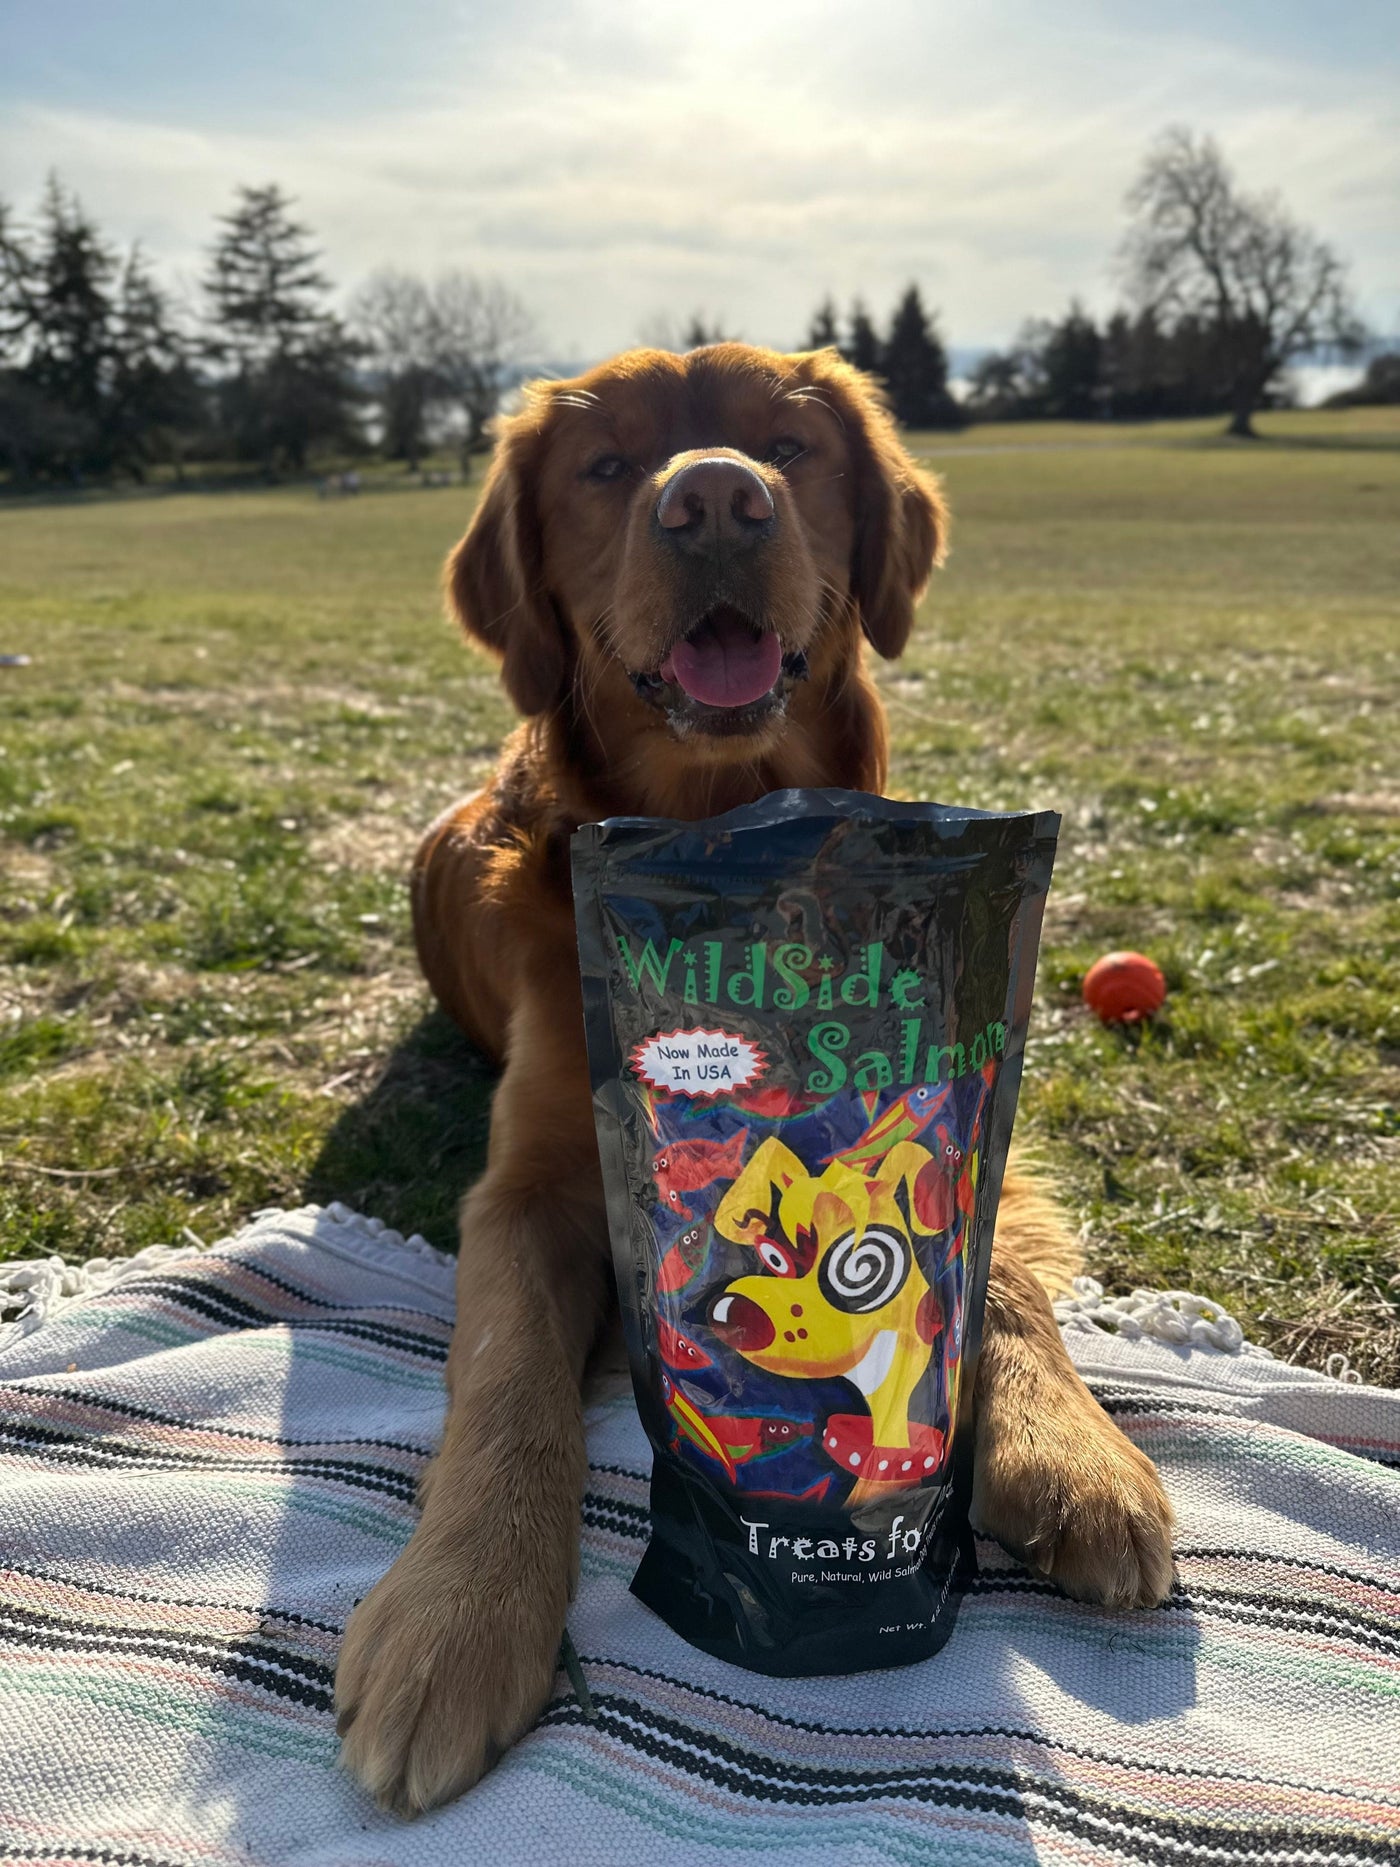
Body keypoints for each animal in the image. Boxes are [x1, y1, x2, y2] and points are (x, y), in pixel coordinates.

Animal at [334, 336, 1179, 1807]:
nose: (715, 498)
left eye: (787, 449)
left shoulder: (962, 1094)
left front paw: (1073, 1451)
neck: (731, 841)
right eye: (607, 464)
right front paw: (456, 1612)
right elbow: (506, 1385)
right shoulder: (530, 1182)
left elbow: (996, 1266)